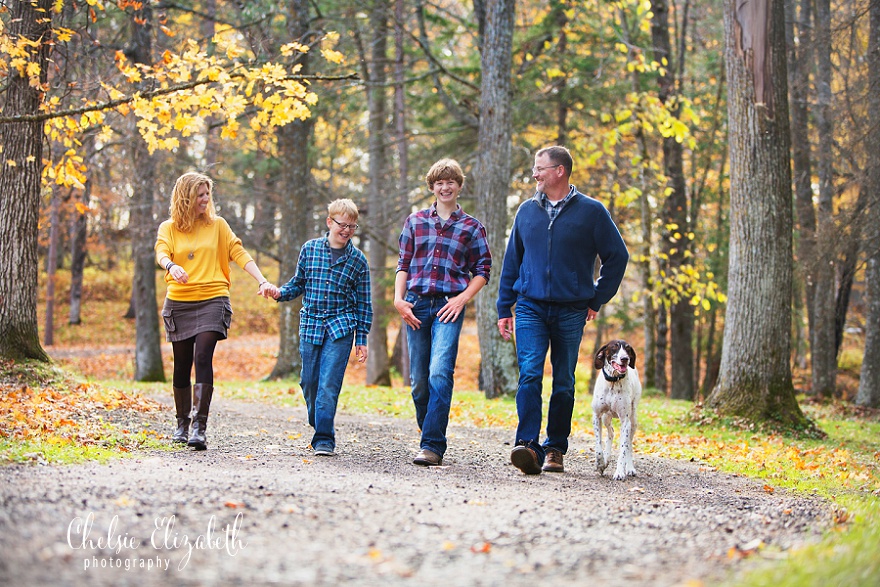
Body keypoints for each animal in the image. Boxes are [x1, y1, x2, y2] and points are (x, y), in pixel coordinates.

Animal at [592, 340, 640, 482]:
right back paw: (606, 458)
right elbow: (598, 445)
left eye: (628, 349)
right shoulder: (597, 416)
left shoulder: (625, 421)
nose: (625, 359)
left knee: (628, 443)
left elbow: (623, 449)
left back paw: (629, 468)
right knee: (611, 433)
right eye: (614, 347)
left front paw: (619, 472)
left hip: (633, 420)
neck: (613, 381)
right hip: (606, 417)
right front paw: (600, 463)